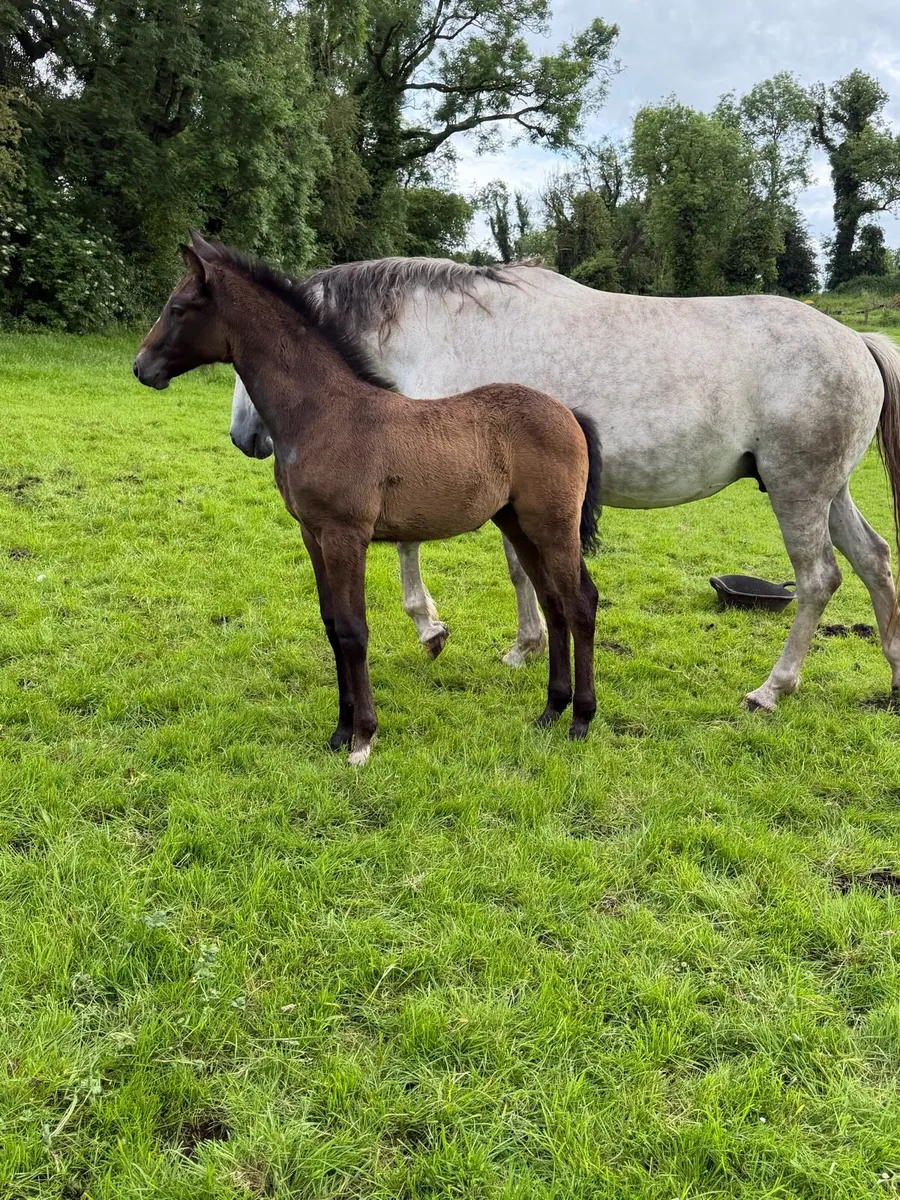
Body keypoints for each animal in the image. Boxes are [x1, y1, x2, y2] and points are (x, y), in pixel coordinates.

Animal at [133, 233, 603, 764]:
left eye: (178, 308)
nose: (141, 366)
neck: (322, 413)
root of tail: (569, 413)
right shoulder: (313, 534)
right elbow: (332, 626)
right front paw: (339, 733)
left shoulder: (346, 536)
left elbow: (354, 631)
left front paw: (363, 738)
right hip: (518, 524)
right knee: (553, 602)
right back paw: (550, 711)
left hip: (553, 525)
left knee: (580, 602)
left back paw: (581, 719)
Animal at [230, 257, 900, 712]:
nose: (243, 436)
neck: (446, 333)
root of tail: (855, 340)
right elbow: (517, 568)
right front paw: (525, 646)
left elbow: (417, 548)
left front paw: (434, 629)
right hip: (829, 492)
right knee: (873, 560)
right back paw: (893, 673)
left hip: (798, 491)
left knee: (819, 580)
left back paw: (771, 689)